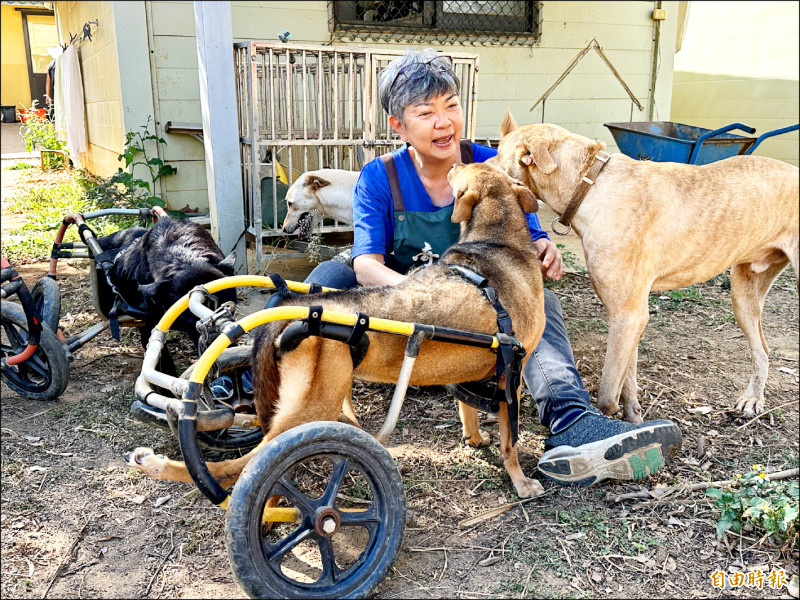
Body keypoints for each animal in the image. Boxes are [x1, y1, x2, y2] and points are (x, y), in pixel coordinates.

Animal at [496, 112, 796, 422]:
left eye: (497, 155)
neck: (589, 182)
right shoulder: (632, 318)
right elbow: (627, 379)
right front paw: (634, 417)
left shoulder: (626, 316)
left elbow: (607, 394)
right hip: (744, 294)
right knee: (762, 349)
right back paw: (752, 398)